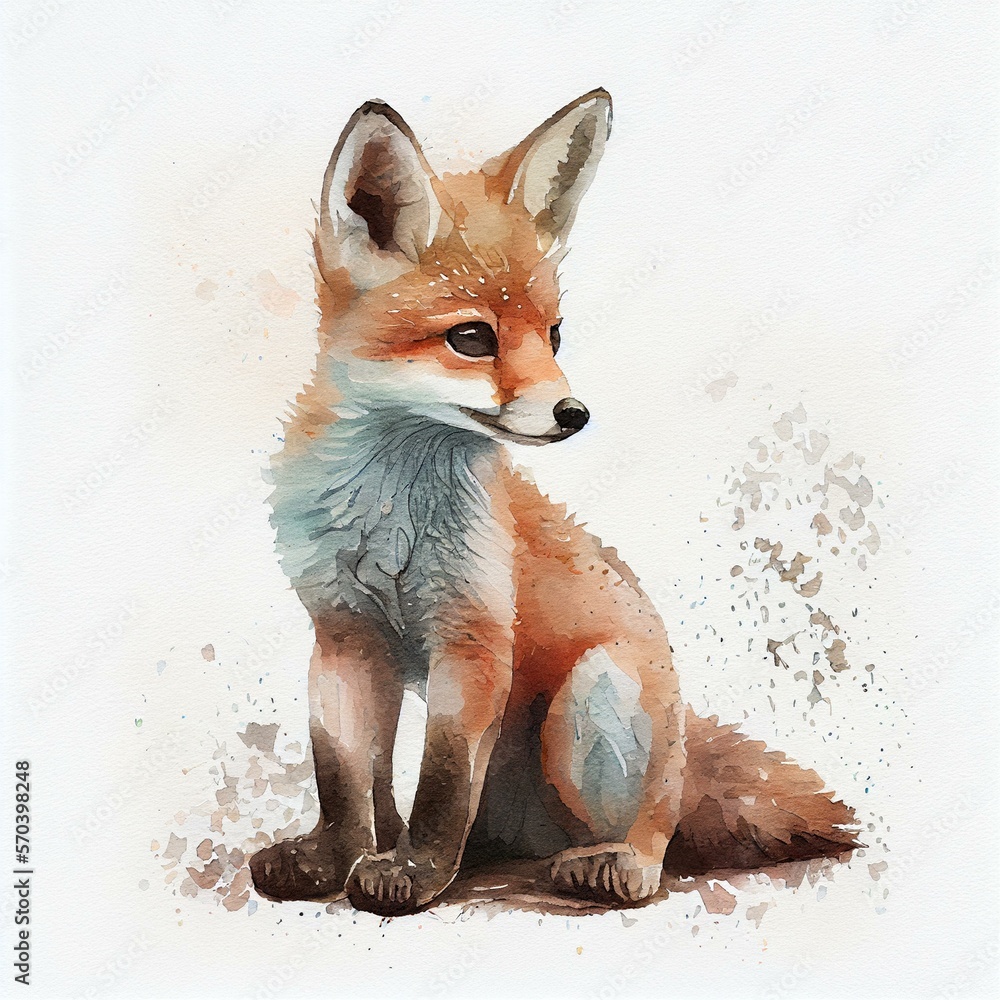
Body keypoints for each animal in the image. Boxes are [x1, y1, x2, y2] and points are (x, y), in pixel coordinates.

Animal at [249, 89, 858, 915]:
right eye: (472, 338)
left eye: (555, 335)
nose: (575, 414)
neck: (388, 516)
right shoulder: (343, 636)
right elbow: (345, 781)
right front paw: (333, 860)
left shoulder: (473, 639)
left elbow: (441, 787)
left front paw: (412, 874)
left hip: (593, 695)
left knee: (656, 831)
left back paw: (614, 862)